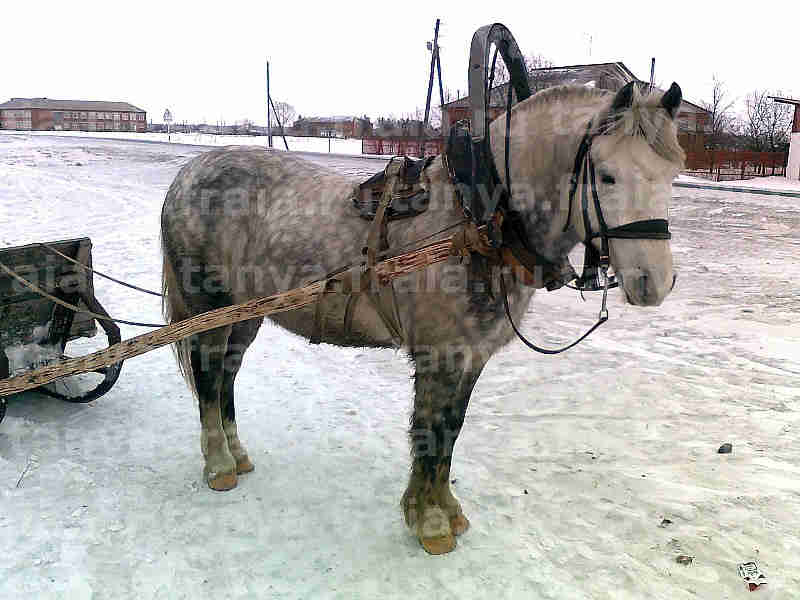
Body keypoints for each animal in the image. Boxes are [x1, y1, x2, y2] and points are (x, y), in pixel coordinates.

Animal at [159, 79, 684, 552]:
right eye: (606, 175)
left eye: (672, 174)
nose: (653, 283)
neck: (476, 222)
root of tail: (189, 173)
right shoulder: (441, 354)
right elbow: (432, 433)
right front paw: (430, 523)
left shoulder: (471, 357)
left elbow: (451, 431)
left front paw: (445, 511)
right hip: (208, 305)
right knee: (207, 376)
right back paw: (218, 465)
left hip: (244, 314)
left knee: (226, 376)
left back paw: (237, 454)